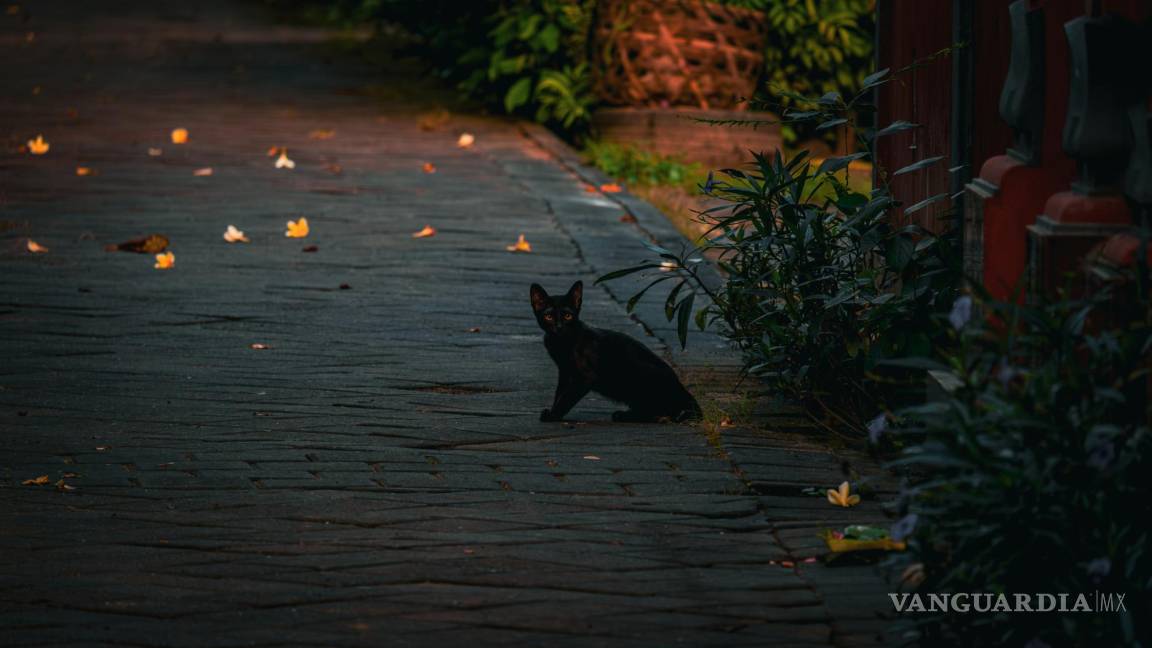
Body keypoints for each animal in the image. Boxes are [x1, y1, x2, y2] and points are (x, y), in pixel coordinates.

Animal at [529, 280, 700, 422]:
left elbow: (566, 398)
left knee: (656, 410)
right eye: (549, 316)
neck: (561, 343)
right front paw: (553, 411)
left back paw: (626, 415)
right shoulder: (565, 371)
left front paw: (553, 415)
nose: (559, 327)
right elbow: (560, 393)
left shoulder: (584, 377)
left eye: (567, 316)